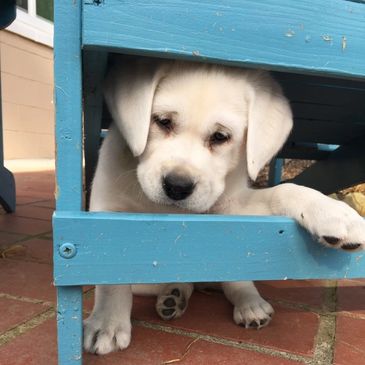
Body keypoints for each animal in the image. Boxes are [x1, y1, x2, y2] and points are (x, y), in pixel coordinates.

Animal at [83, 57, 364, 352]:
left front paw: (333, 212)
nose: (177, 187)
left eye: (220, 137)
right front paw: (107, 323)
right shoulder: (106, 212)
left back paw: (250, 305)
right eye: (163, 121)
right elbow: (111, 278)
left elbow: (283, 190)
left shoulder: (233, 211)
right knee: (180, 282)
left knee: (234, 279)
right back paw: (174, 296)